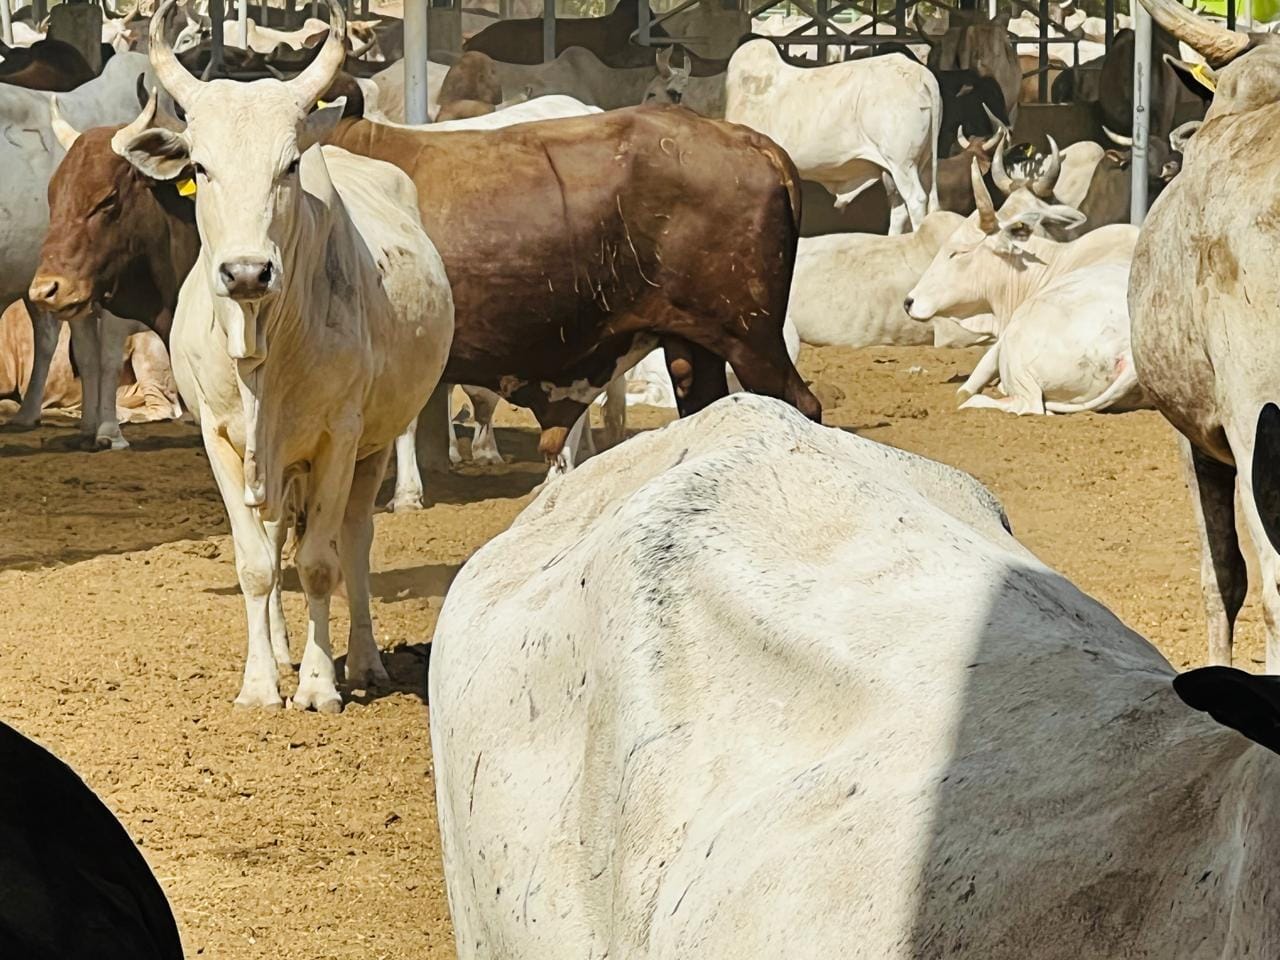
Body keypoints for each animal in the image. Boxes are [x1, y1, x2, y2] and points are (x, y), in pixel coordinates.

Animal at [120, 1, 455, 711]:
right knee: (275, 545)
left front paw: (321, 684)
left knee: (354, 540)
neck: (263, 354)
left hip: (371, 447)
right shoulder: (220, 439)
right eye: (200, 168)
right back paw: (277, 653)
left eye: (291, 165)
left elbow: (321, 563)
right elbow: (255, 566)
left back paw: (363, 662)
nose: (247, 271)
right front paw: (259, 684)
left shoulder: (339, 438)